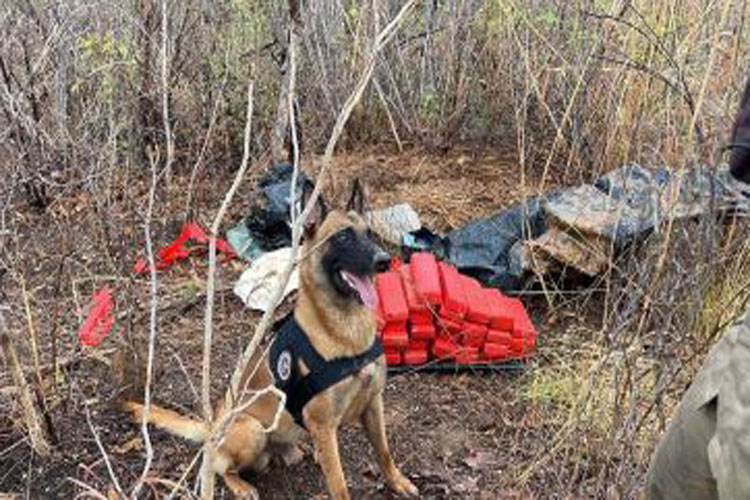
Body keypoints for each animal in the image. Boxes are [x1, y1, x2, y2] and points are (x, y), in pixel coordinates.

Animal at [122, 181, 418, 500]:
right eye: (342, 237)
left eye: (369, 234)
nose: (384, 261)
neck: (346, 331)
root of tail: (215, 423)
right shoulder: (324, 426)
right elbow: (339, 484)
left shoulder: (373, 404)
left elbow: (384, 451)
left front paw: (397, 481)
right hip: (251, 430)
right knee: (218, 467)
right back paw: (241, 485)